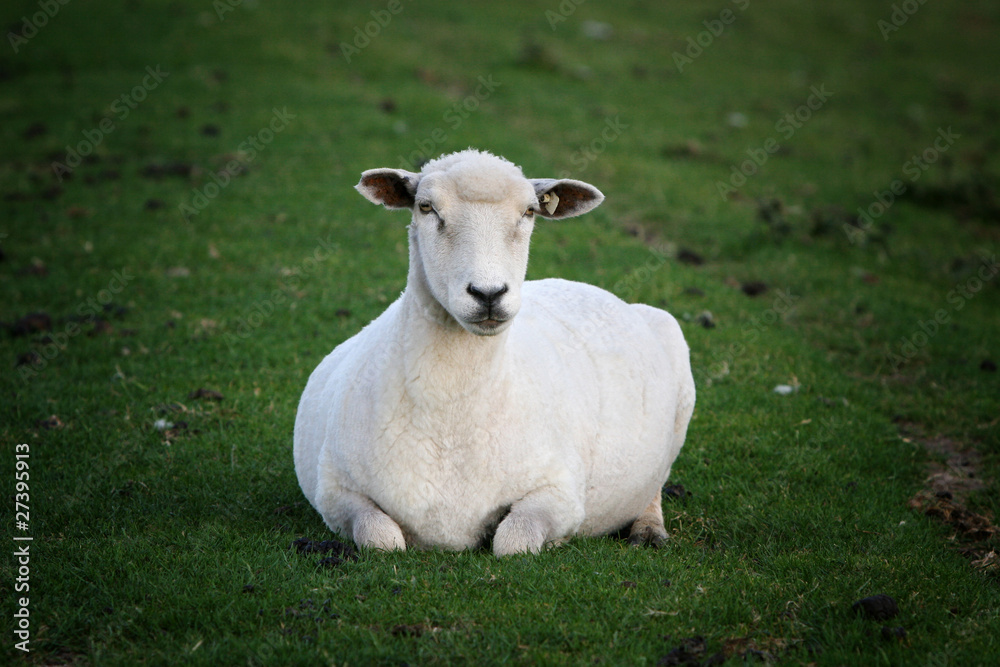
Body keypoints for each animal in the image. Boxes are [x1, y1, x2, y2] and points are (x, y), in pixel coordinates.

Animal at [293, 149, 695, 556]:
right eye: (426, 207)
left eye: (530, 212)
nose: (488, 293)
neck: (450, 416)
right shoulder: (336, 492)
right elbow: (383, 540)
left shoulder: (561, 494)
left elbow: (512, 542)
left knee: (655, 485)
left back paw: (648, 529)